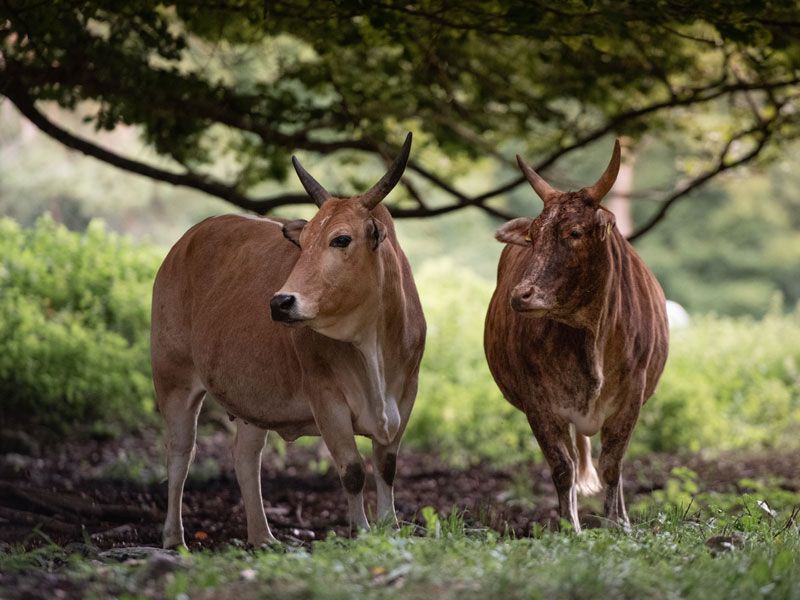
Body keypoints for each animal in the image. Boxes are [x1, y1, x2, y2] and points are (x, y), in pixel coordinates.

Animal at [150, 133, 426, 549]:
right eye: (304, 241)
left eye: (341, 239)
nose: (281, 302)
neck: (372, 346)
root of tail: (186, 241)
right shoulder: (327, 399)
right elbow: (352, 471)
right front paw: (362, 532)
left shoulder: (406, 394)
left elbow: (386, 467)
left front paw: (389, 528)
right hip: (173, 379)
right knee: (179, 454)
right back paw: (174, 539)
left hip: (253, 398)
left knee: (245, 458)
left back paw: (262, 536)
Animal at [483, 140, 668, 532]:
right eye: (533, 237)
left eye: (575, 232)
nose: (521, 295)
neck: (590, 336)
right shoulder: (539, 404)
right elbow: (562, 467)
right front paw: (570, 527)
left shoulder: (631, 396)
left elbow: (613, 464)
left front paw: (617, 523)